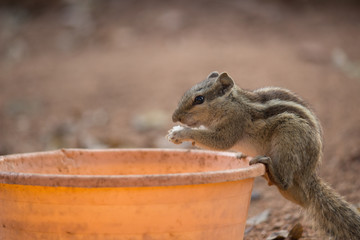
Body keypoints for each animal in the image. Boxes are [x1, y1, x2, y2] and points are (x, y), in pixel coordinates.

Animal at [167, 71, 360, 238]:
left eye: (199, 99)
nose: (175, 117)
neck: (232, 103)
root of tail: (309, 171)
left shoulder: (234, 123)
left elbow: (220, 141)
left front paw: (181, 133)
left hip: (288, 138)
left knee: (285, 181)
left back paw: (268, 166)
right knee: (299, 197)